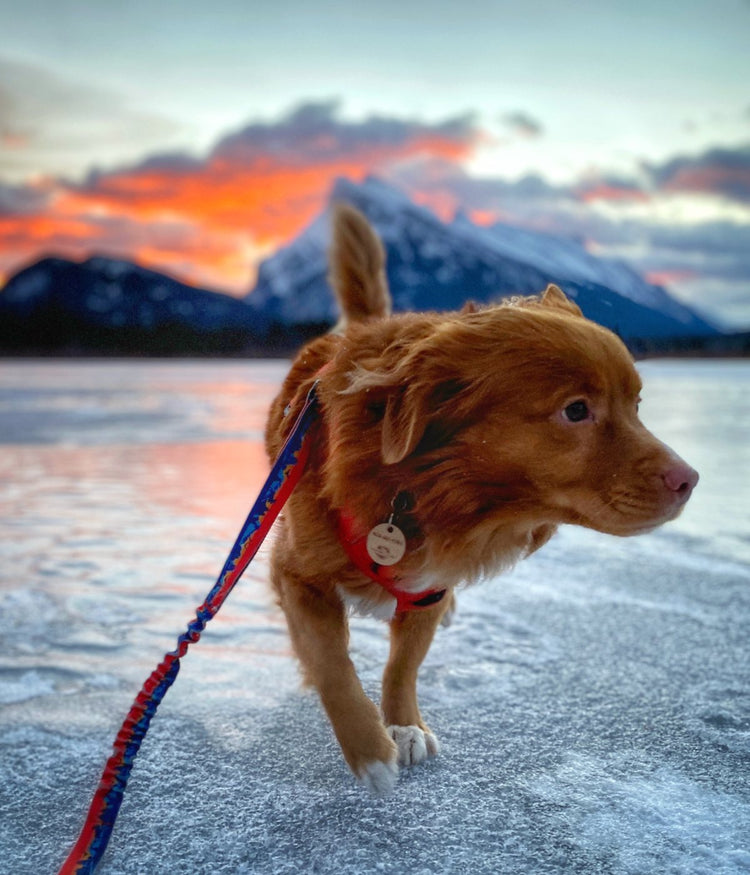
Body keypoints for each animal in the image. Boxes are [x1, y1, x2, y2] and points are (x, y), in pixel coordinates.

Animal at [264, 204, 700, 792]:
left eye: (635, 404)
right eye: (576, 410)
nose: (690, 480)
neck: (423, 491)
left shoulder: (429, 586)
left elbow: (404, 664)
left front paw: (402, 724)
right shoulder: (296, 572)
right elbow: (333, 663)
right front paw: (369, 749)